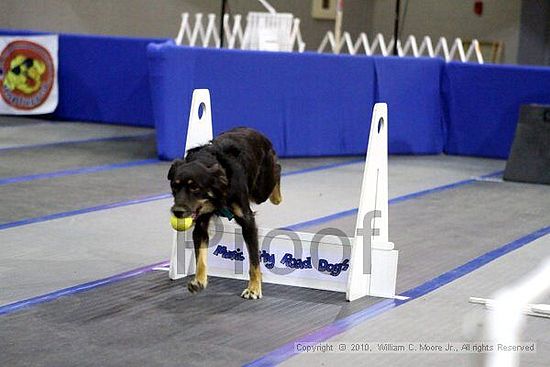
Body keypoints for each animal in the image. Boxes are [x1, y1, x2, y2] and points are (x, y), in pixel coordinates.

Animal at [168, 128, 282, 300]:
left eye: (195, 188)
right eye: (175, 187)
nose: (177, 211)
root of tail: (256, 132)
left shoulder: (248, 222)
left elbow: (254, 261)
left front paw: (254, 288)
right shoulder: (200, 225)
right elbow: (200, 258)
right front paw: (199, 281)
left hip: (261, 189)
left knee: (278, 170)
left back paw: (277, 196)